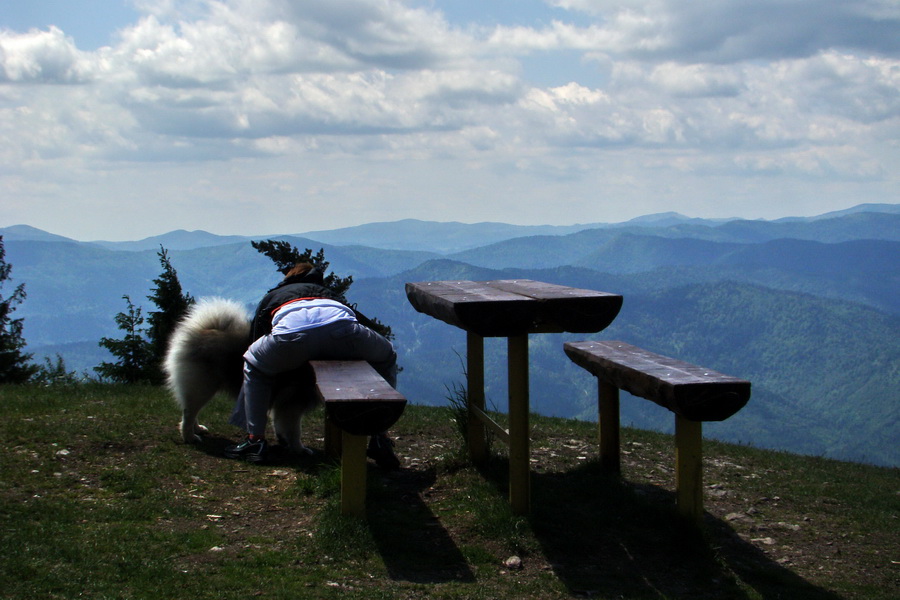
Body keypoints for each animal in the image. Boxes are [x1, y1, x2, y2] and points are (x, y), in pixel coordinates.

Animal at [163, 298, 318, 452]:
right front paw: (299, 448)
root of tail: (203, 328)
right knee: (188, 412)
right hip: (203, 386)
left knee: (190, 410)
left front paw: (285, 442)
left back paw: (198, 429)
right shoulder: (292, 404)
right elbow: (295, 430)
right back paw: (189, 437)